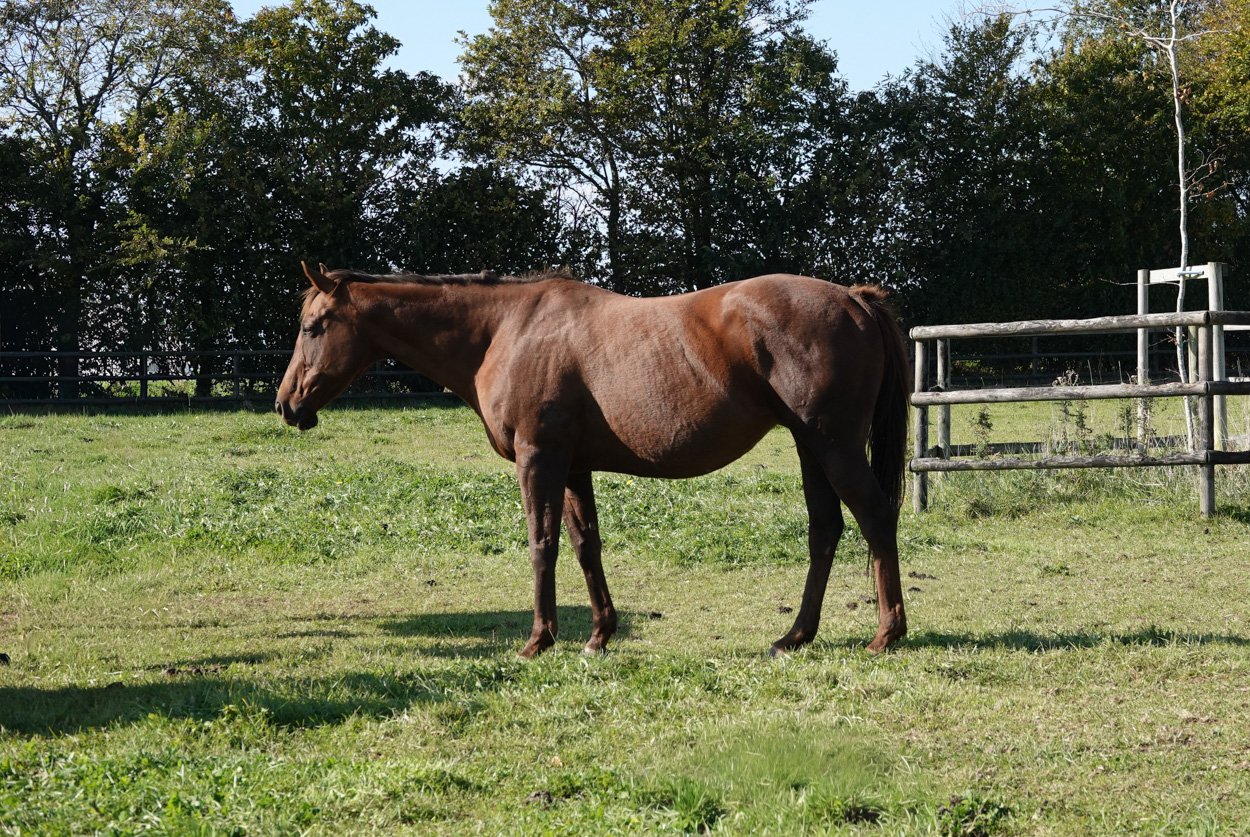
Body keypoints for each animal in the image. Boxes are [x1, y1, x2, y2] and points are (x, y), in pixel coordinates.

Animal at [277, 262, 910, 658]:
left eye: (313, 326)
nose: (287, 404)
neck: (506, 330)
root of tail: (853, 298)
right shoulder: (574, 467)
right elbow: (586, 545)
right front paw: (599, 635)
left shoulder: (538, 460)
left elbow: (543, 544)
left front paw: (538, 640)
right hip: (810, 446)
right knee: (825, 529)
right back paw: (795, 636)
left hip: (833, 445)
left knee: (876, 518)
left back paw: (887, 634)